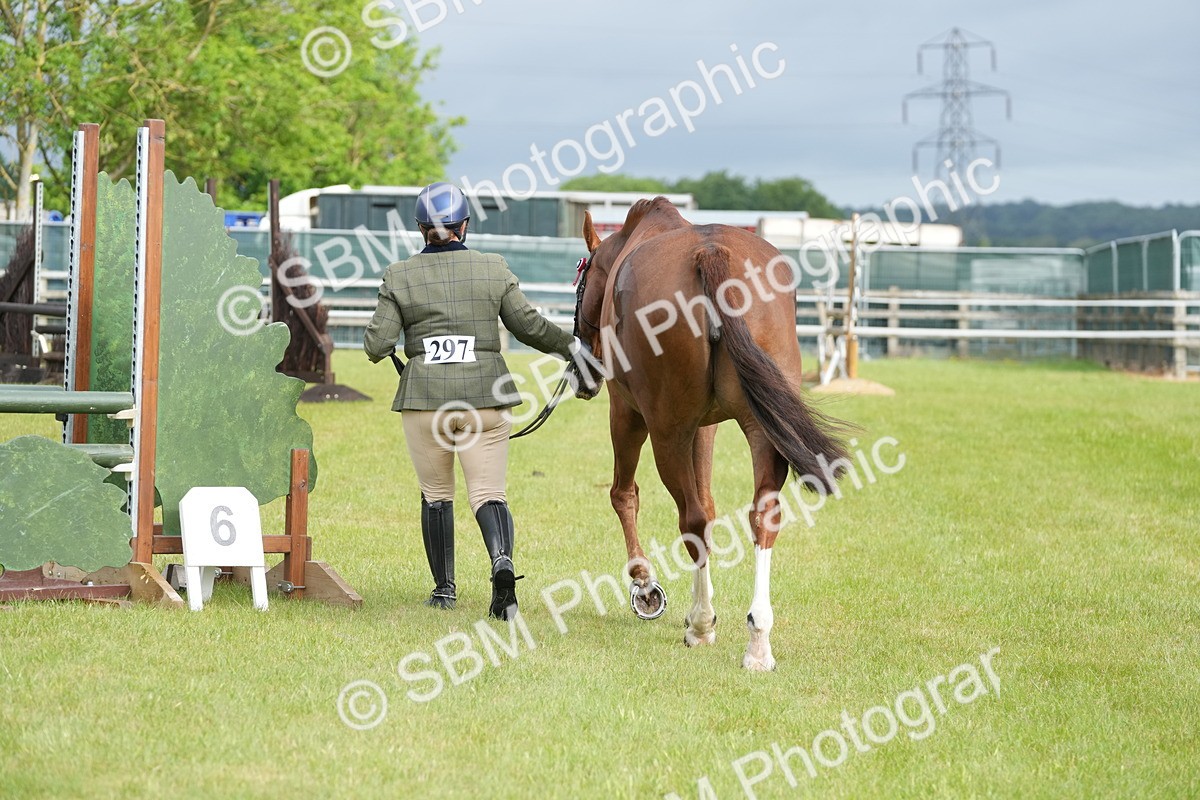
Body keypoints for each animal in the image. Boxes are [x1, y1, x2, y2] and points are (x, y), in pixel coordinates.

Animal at [572, 197, 851, 670]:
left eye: (581, 280)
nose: (581, 375)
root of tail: (710, 253)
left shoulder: (628, 413)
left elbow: (625, 495)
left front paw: (643, 584)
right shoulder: (705, 428)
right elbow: (710, 500)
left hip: (666, 432)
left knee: (692, 520)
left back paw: (701, 626)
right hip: (761, 429)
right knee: (762, 515)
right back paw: (758, 639)